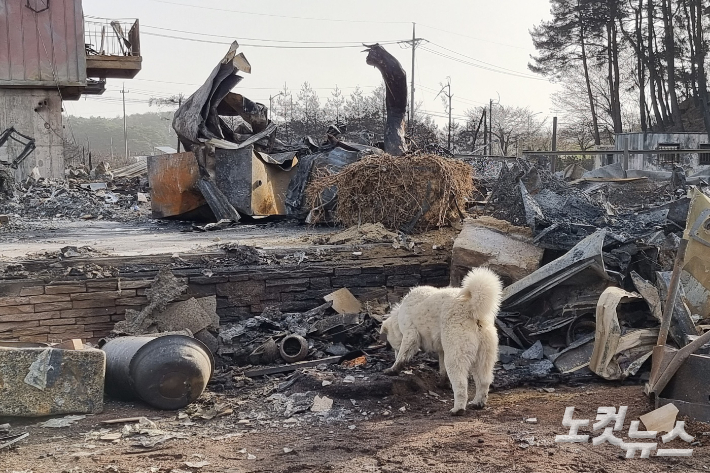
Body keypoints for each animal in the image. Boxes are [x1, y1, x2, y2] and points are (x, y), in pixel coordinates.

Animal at [382, 268, 504, 414]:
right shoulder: (442, 350)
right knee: (484, 381)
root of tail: (471, 307)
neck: (399, 316)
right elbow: (442, 368)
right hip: (483, 355)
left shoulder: (410, 335)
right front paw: (443, 383)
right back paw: (477, 403)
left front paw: (393, 369)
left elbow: (403, 355)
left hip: (456, 354)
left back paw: (458, 409)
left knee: (461, 384)